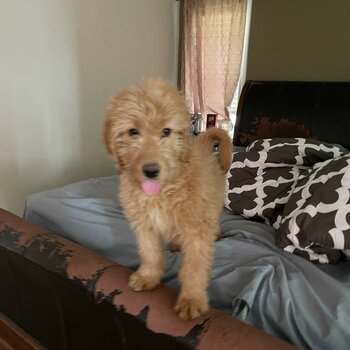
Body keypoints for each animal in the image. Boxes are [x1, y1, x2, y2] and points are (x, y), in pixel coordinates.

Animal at [105, 78, 234, 320]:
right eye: (133, 131)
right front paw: (148, 276)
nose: (151, 171)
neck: (162, 192)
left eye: (166, 131)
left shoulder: (196, 231)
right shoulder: (144, 225)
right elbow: (150, 253)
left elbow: (194, 268)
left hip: (213, 202)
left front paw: (192, 299)